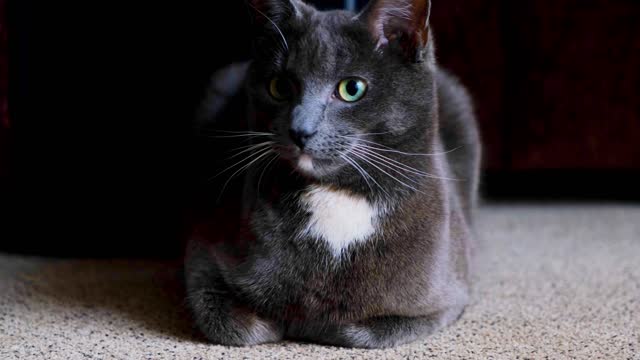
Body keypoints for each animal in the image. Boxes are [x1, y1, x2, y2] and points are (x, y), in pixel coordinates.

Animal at [184, 0, 480, 348]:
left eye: (352, 89)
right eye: (279, 86)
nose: (300, 130)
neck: (337, 196)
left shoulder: (447, 297)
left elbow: (362, 330)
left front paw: (317, 323)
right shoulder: (203, 253)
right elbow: (234, 325)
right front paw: (280, 322)